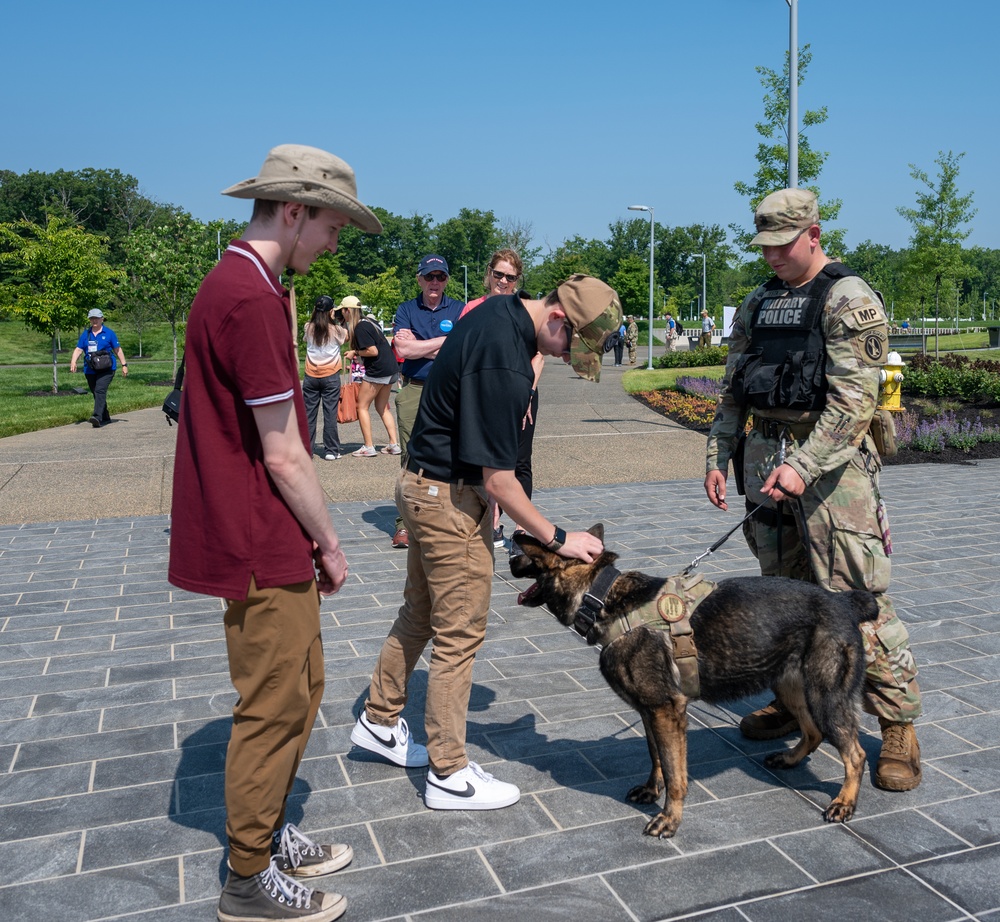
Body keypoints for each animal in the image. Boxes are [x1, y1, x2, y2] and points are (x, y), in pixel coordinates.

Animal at [512, 524, 880, 832]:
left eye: (528, 555)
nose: (512, 547)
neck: (602, 599)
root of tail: (843, 601)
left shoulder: (666, 711)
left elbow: (675, 773)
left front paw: (669, 818)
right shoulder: (650, 712)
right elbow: (656, 757)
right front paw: (652, 789)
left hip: (825, 697)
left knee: (856, 754)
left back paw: (844, 802)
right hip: (790, 687)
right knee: (813, 732)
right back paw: (790, 759)